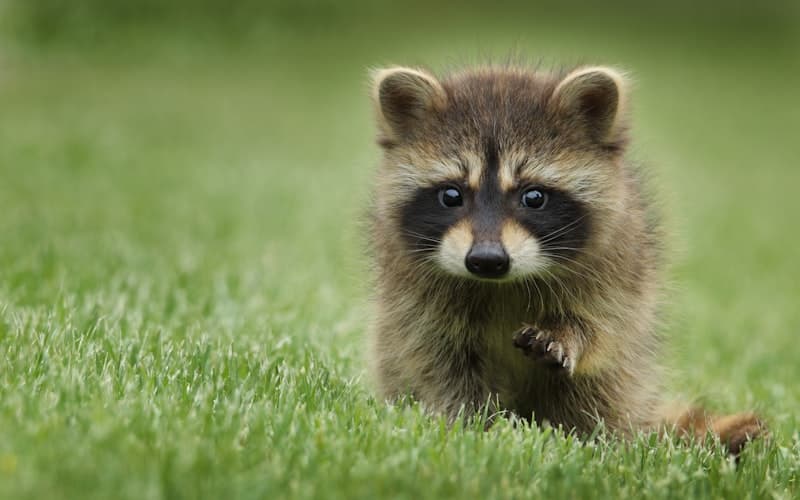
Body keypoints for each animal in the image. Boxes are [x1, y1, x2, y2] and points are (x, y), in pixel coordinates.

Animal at [366, 63, 764, 455]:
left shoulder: (620, 263)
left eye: (534, 197)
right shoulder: (414, 295)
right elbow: (438, 360)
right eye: (451, 195)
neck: (502, 284)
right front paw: (473, 425)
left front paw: (568, 334)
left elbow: (602, 325)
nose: (487, 260)